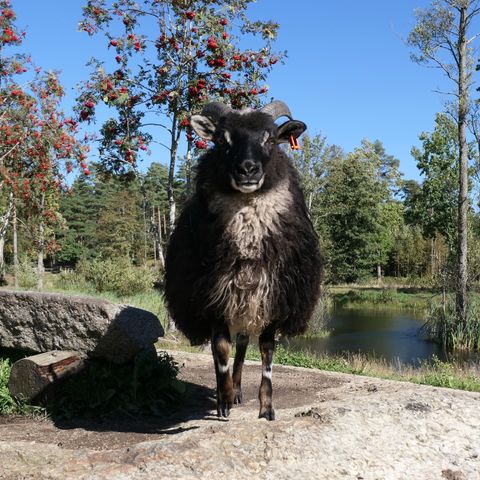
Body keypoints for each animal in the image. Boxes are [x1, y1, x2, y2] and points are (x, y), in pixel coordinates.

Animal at [166, 101, 322, 420]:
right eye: (222, 141)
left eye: (270, 139)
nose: (247, 169)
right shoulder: (213, 299)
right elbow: (220, 351)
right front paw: (223, 400)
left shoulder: (274, 300)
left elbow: (266, 353)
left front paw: (267, 407)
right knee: (227, 349)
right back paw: (227, 395)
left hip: (247, 306)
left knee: (242, 347)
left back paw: (238, 390)